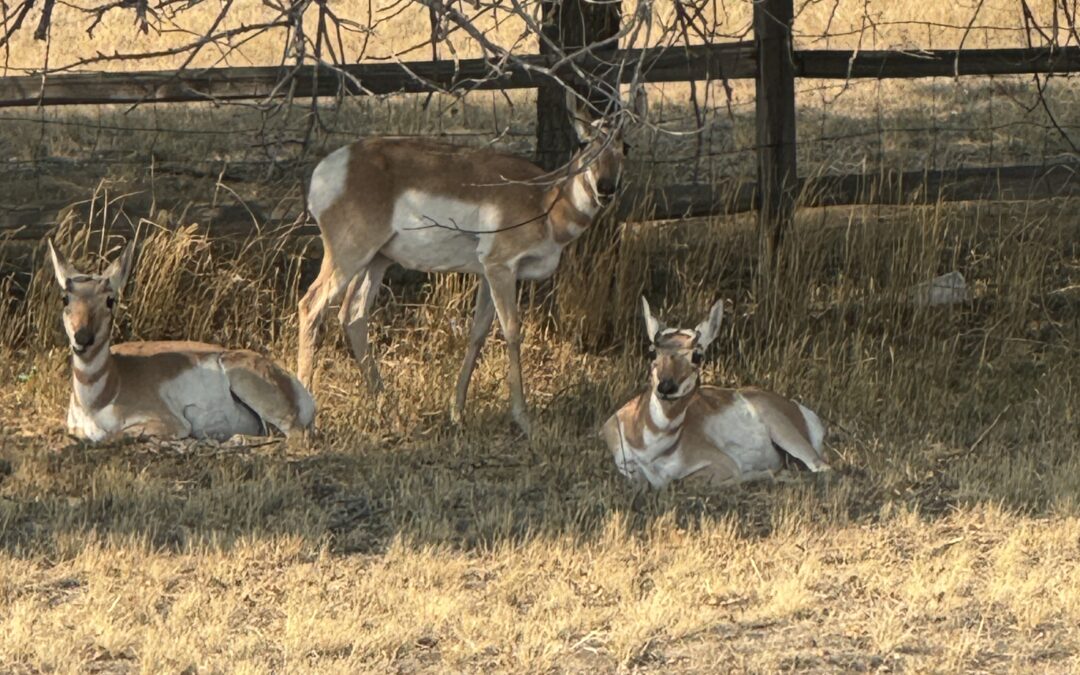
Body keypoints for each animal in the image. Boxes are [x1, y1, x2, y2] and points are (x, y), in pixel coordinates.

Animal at [48, 239, 315, 443]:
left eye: (110, 300)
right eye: (65, 298)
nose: (83, 338)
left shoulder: (170, 423)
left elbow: (111, 436)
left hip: (244, 378)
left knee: (295, 436)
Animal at [298, 89, 646, 434]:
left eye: (625, 146)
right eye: (585, 143)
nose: (606, 187)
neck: (545, 198)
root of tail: (331, 166)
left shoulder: (487, 274)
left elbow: (478, 332)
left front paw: (457, 412)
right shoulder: (501, 267)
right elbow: (512, 331)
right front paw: (524, 419)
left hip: (376, 260)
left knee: (353, 315)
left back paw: (391, 413)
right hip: (348, 254)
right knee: (311, 305)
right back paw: (308, 424)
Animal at [602, 298, 831, 489]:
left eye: (697, 355)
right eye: (652, 352)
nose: (666, 387)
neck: (650, 448)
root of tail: (796, 406)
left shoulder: (722, 463)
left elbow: (685, 481)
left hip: (783, 430)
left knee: (823, 468)